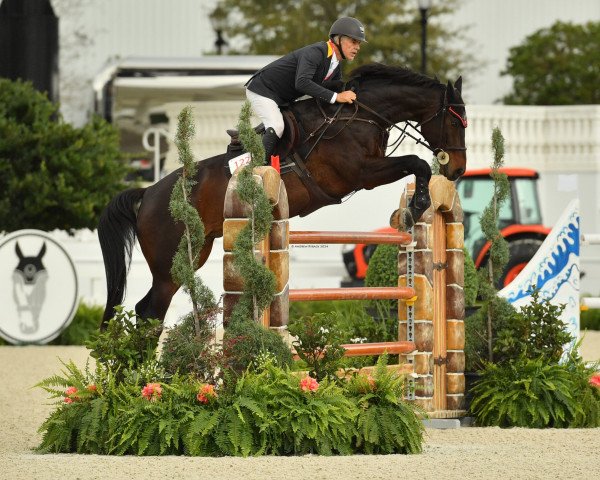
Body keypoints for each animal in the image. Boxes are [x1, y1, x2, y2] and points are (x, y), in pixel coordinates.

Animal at [97, 62, 468, 326]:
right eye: (455, 122)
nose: (458, 170)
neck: (360, 115)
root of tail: (149, 192)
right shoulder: (361, 173)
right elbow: (415, 162)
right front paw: (417, 205)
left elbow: (415, 165)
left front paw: (412, 208)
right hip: (171, 263)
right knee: (150, 312)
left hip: (195, 252)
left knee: (146, 310)